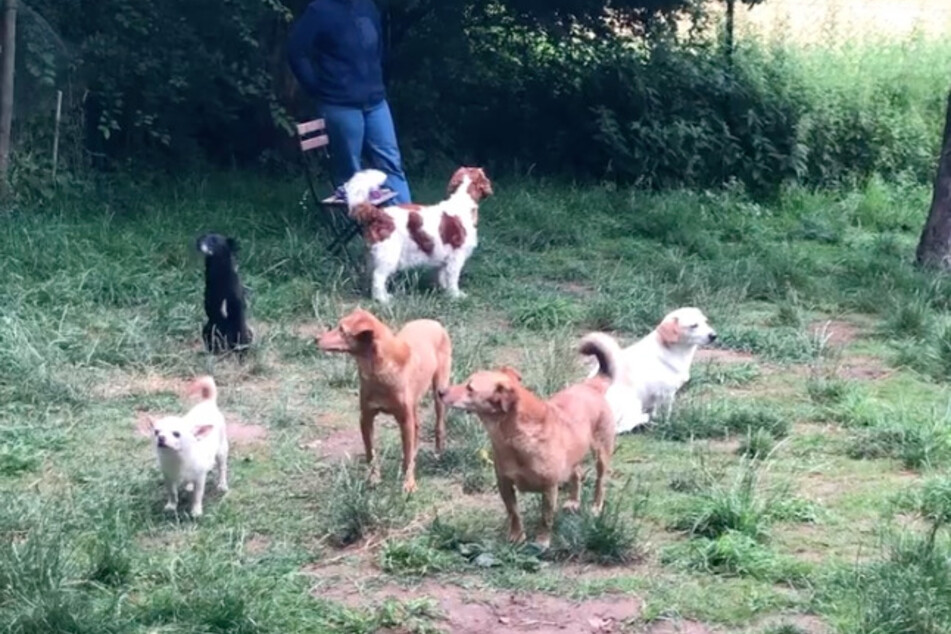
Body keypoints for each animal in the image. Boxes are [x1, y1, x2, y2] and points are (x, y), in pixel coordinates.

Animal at [149, 376, 231, 512]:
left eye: (176, 434)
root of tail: (207, 402)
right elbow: (172, 493)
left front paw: (196, 511)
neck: (177, 458)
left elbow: (198, 495)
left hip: (221, 452)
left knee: (222, 469)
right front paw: (171, 506)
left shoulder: (200, 479)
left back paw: (222, 485)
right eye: (156, 432)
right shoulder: (168, 478)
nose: (160, 438)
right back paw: (189, 486)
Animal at [318, 308, 452, 492]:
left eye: (342, 330)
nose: (316, 338)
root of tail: (432, 322)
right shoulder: (366, 417)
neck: (377, 371)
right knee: (417, 428)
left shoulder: (404, 419)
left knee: (439, 426)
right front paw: (374, 479)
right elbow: (370, 453)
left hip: (439, 391)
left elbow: (407, 456)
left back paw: (438, 453)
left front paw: (409, 484)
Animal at [344, 165, 490, 304]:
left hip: (373, 256)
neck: (462, 201)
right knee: (378, 277)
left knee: (370, 274)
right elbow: (452, 279)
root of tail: (379, 214)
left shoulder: (444, 260)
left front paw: (443, 291)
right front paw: (456, 296)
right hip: (389, 256)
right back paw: (382, 300)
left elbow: (442, 277)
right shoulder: (456, 257)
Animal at [442, 334, 620, 544]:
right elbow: (514, 513)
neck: (512, 437)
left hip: (601, 453)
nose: (440, 391)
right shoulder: (504, 483)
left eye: (469, 388)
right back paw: (573, 502)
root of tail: (590, 385)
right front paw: (517, 537)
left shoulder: (549, 487)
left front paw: (542, 541)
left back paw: (595, 507)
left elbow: (546, 517)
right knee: (576, 474)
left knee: (600, 482)